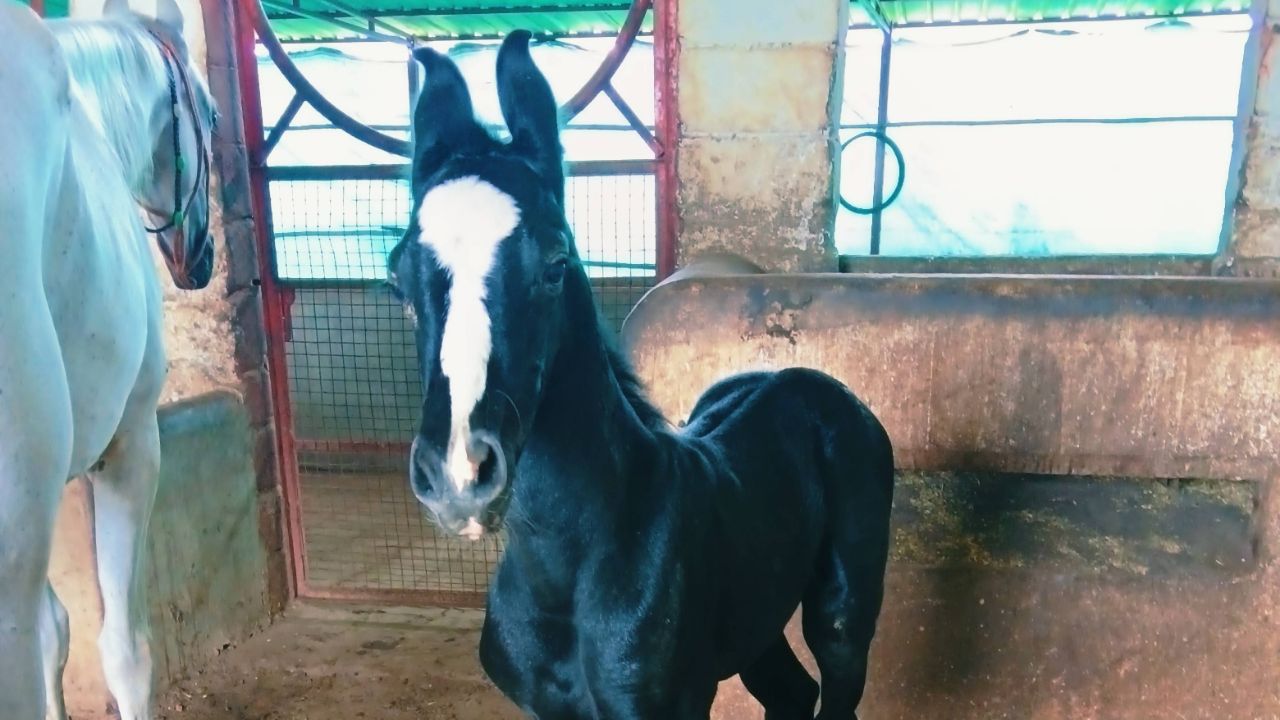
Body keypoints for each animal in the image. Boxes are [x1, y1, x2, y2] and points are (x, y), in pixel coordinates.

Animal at [389, 31, 895, 719]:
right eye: (396, 280)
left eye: (556, 263)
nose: (458, 475)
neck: (569, 570)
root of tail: (813, 383)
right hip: (755, 621)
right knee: (792, 692)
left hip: (844, 613)